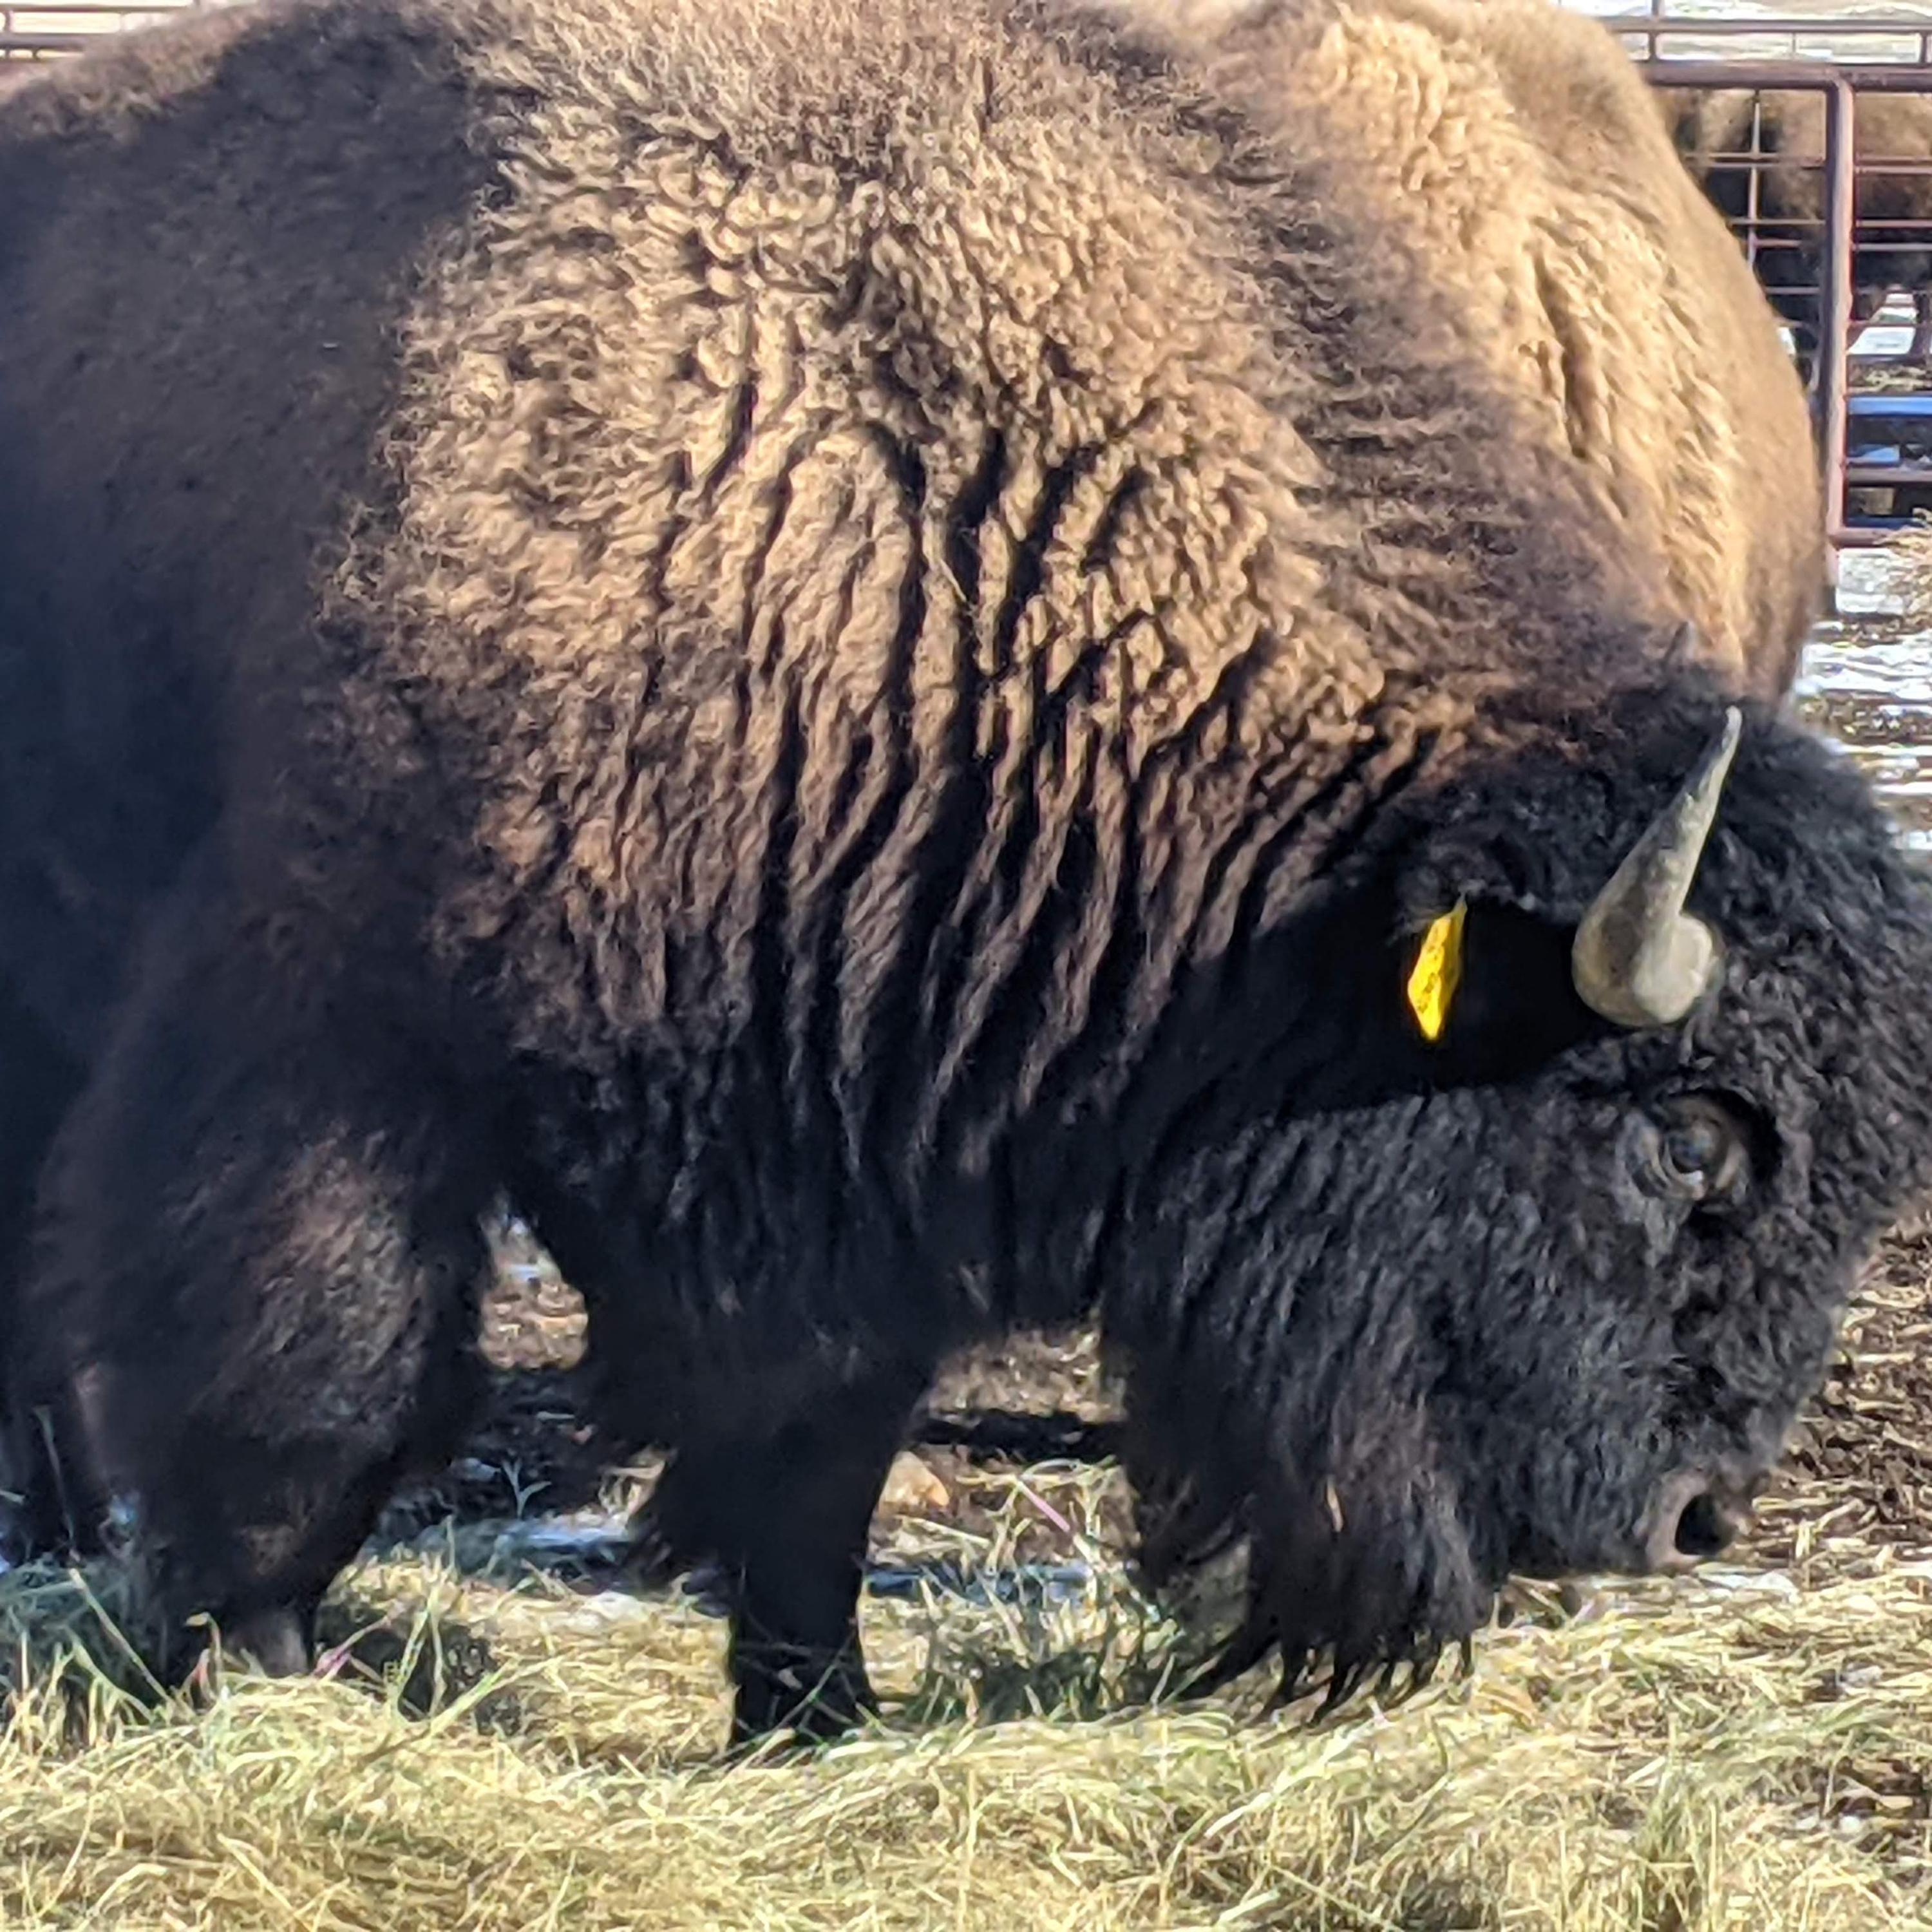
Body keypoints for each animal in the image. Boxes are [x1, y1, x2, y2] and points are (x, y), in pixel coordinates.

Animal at [3, 0, 1931, 1746]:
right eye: (1685, 1143)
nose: (1694, 1516)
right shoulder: (327, 1037)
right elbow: (316, 1367)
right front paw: (252, 1660)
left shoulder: (842, 1109)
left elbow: (818, 1449)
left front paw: (813, 1707)